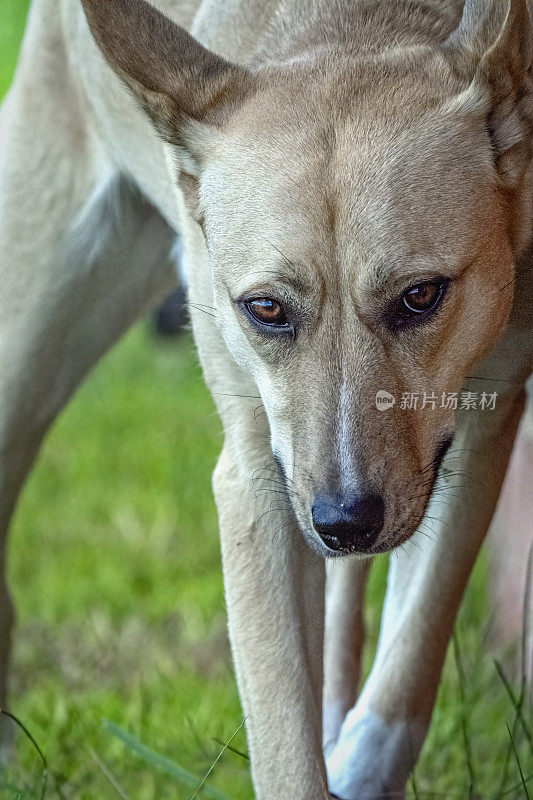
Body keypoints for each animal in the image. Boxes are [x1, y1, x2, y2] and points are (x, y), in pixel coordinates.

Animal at [0, 0, 528, 796]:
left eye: (421, 296)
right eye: (266, 309)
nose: (345, 522)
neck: (351, 30)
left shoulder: (476, 433)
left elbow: (413, 651)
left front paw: (358, 763)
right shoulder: (259, 479)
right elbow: (283, 737)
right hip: (25, 351)